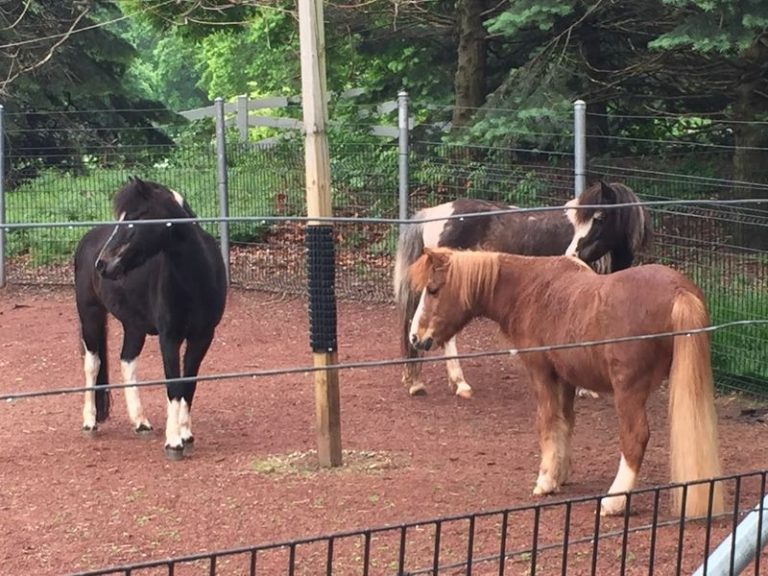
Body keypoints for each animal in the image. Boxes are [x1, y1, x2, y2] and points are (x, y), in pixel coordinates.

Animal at [74, 176, 227, 460]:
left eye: (135, 217)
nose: (103, 264)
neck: (196, 279)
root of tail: (88, 239)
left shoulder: (203, 337)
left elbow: (188, 384)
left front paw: (186, 434)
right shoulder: (170, 337)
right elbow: (173, 385)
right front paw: (174, 442)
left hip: (134, 326)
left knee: (127, 361)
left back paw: (141, 422)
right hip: (90, 315)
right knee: (92, 363)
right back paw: (89, 421)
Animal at [393, 181, 652, 399]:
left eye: (600, 218)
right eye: (592, 218)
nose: (572, 254)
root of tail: (432, 214)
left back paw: (416, 381)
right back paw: (460, 383)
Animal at [407, 247, 724, 518]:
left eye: (433, 289)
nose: (415, 337)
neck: (528, 290)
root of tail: (679, 291)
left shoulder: (541, 373)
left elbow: (547, 422)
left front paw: (546, 480)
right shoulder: (566, 378)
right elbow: (565, 422)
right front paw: (561, 473)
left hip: (628, 391)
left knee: (635, 438)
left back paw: (613, 502)